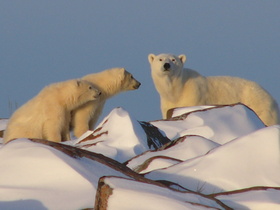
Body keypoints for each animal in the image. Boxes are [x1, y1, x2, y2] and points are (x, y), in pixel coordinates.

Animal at [148, 53, 278, 125]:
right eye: (160, 59)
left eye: (173, 59)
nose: (166, 65)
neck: (177, 90)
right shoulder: (166, 103)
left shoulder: (195, 94)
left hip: (259, 105)